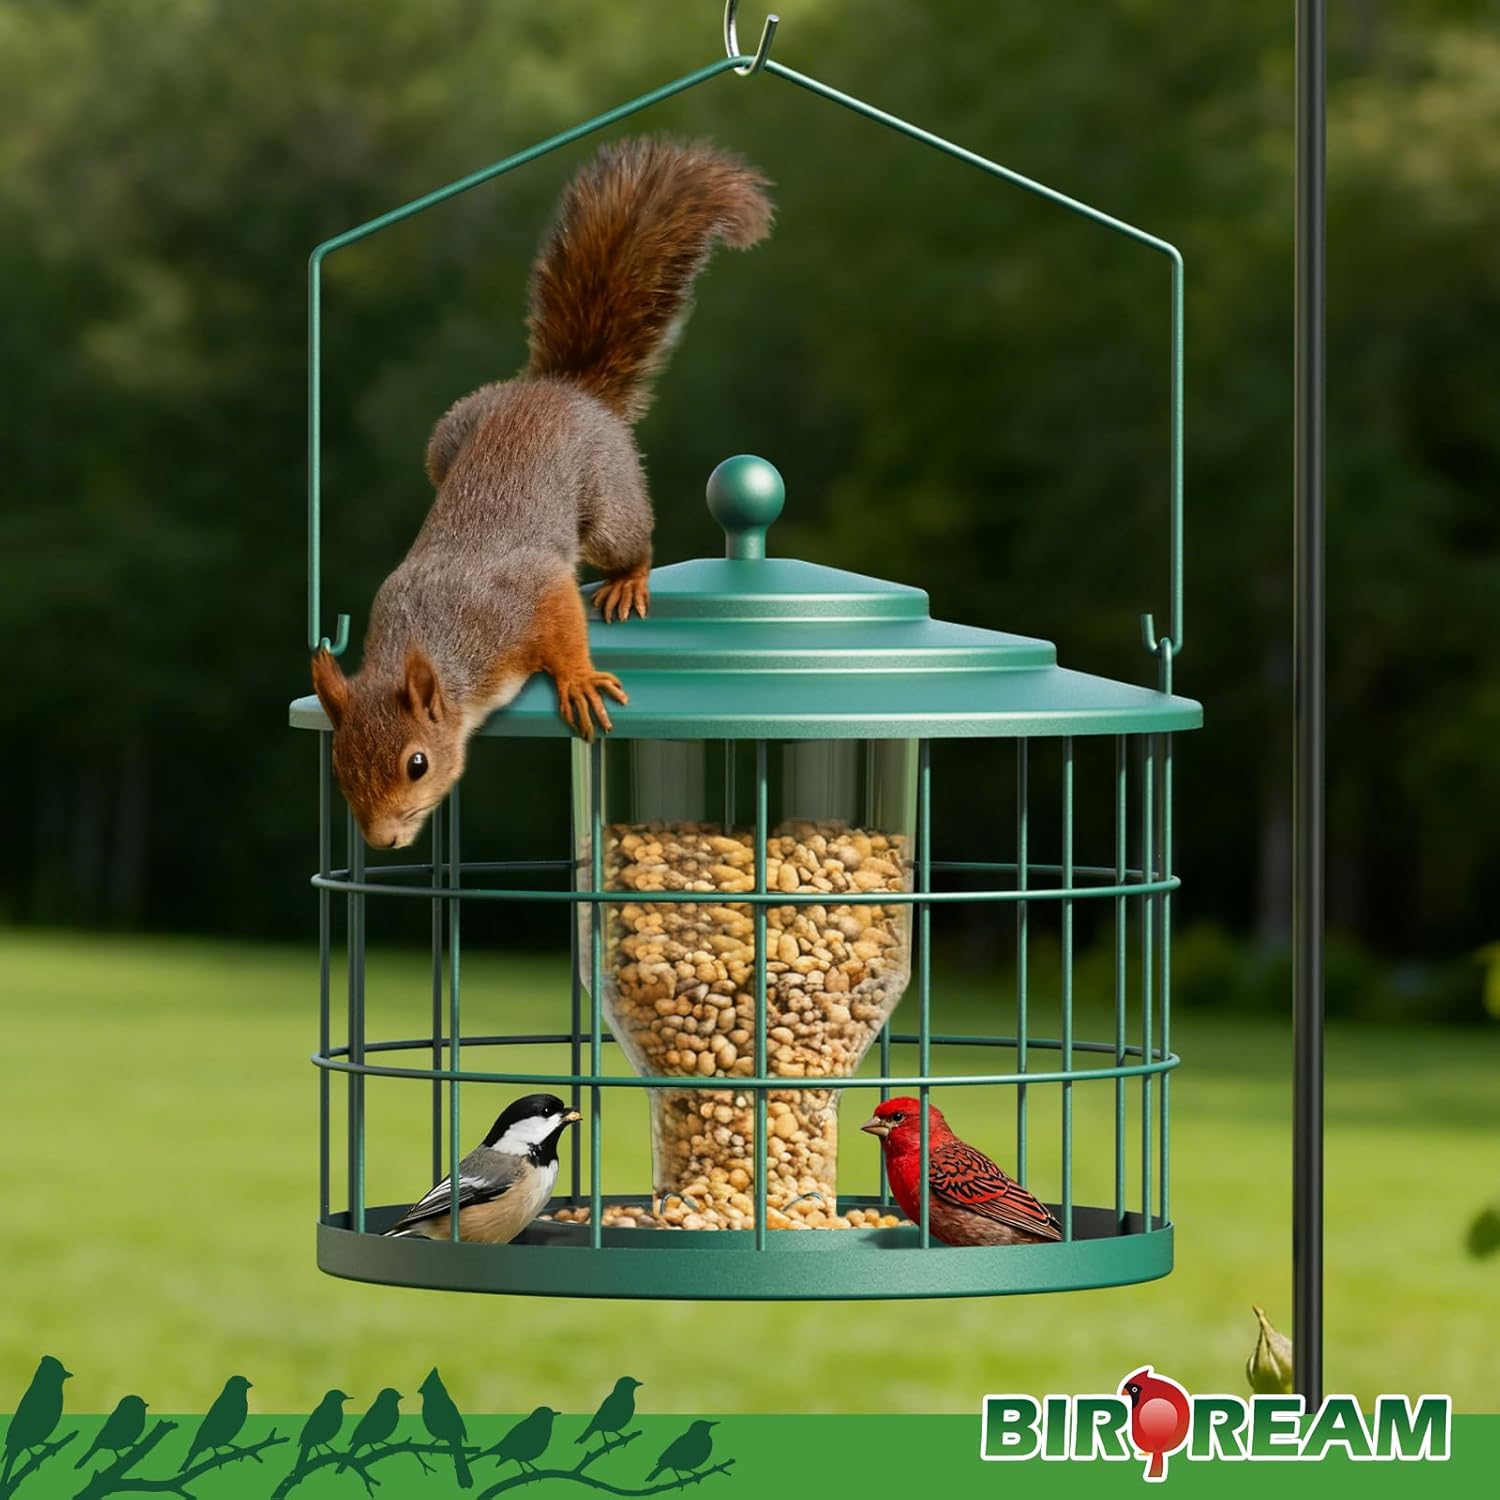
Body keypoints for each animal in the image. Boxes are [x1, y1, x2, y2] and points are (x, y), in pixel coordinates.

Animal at [311, 137, 773, 849]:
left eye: (417, 763)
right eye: (337, 767)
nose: (381, 841)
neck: (438, 646)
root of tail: (565, 388)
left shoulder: (522, 600)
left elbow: (559, 613)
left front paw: (577, 679)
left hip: (608, 498)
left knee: (631, 540)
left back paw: (628, 581)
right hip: (445, 440)